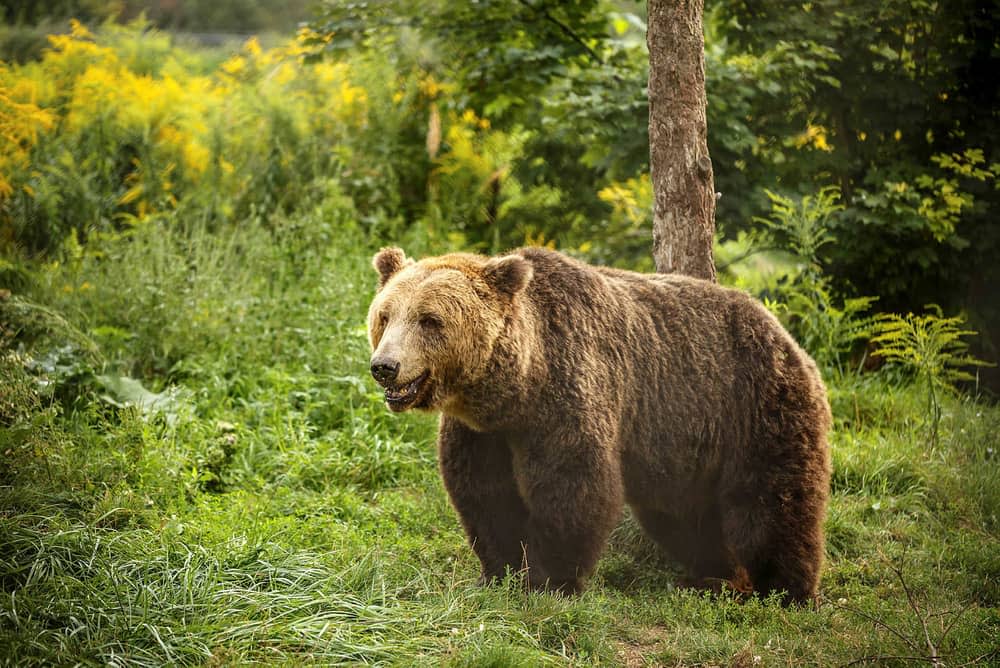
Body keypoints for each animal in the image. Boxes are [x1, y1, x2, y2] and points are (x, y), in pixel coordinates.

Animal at [364, 247, 832, 604]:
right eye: (385, 315)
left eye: (430, 319)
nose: (385, 367)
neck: (518, 387)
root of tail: (787, 335)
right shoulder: (483, 433)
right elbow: (486, 495)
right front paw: (498, 572)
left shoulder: (566, 395)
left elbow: (573, 487)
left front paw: (549, 581)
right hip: (685, 446)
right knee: (684, 517)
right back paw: (710, 576)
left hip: (755, 407)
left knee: (772, 504)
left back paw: (785, 591)